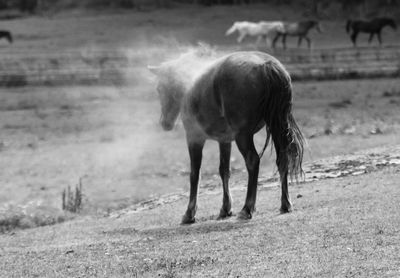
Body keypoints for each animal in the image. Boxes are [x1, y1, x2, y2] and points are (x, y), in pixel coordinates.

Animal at [148, 49, 304, 224]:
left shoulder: (194, 138)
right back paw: (285, 204)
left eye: (160, 88)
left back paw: (247, 208)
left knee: (252, 160)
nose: (164, 123)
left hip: (243, 136)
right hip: (277, 126)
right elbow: (224, 171)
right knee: (282, 158)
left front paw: (189, 213)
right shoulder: (224, 140)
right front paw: (225, 208)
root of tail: (266, 66)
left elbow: (195, 174)